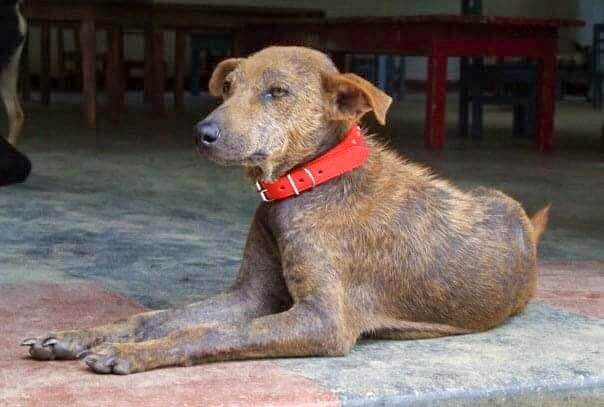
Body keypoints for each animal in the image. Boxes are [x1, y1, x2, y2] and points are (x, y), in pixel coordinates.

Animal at [21, 46, 548, 374]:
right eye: (228, 88)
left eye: (277, 92)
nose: (201, 133)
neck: (306, 184)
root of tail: (527, 224)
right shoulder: (248, 295)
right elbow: (158, 316)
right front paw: (80, 335)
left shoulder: (322, 321)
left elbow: (209, 332)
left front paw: (131, 354)